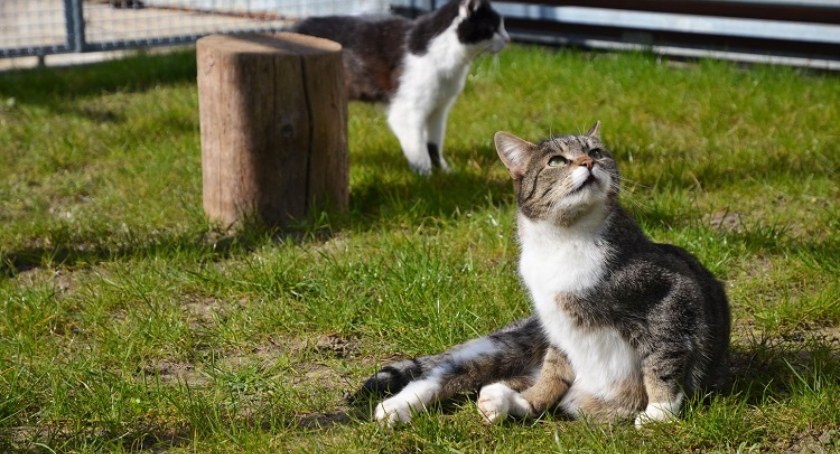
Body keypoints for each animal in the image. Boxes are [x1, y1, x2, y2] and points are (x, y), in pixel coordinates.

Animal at [292, 0, 508, 174]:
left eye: (502, 26)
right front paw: (425, 177)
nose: (508, 39)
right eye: (493, 27)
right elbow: (417, 147)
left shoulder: (439, 109)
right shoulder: (406, 111)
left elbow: (434, 143)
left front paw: (444, 172)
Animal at [354, 122, 728, 428]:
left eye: (596, 152)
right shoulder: (557, 329)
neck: (563, 239)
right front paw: (530, 399)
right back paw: (396, 408)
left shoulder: (671, 293)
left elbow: (663, 355)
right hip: (506, 346)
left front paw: (659, 412)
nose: (588, 163)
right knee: (446, 372)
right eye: (557, 162)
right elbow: (554, 371)